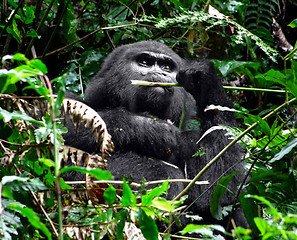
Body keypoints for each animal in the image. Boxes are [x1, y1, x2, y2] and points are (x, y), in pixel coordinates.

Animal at [63, 40, 246, 229]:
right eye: (145, 62)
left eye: (167, 67)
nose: (160, 73)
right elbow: (58, 122)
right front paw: (153, 129)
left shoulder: (193, 139)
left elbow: (218, 193)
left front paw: (204, 81)